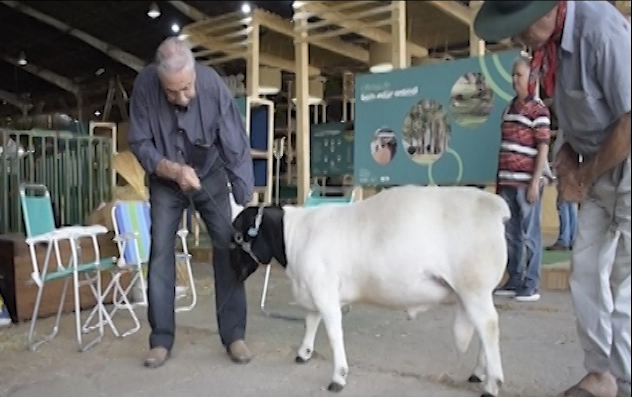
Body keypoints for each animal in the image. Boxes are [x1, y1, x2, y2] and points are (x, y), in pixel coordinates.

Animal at [230, 185, 512, 396]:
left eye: (237, 237)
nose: (234, 273)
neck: (294, 236)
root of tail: (495, 206)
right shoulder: (316, 290)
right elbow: (311, 321)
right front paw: (304, 353)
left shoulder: (324, 290)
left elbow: (333, 333)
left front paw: (338, 377)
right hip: (475, 292)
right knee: (485, 328)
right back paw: (479, 372)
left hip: (473, 285)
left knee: (488, 326)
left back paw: (492, 383)